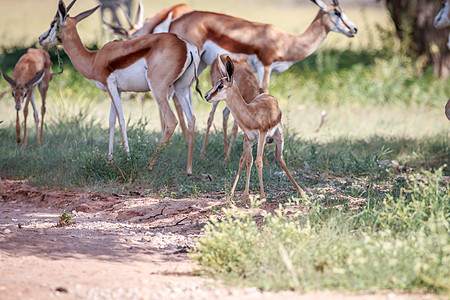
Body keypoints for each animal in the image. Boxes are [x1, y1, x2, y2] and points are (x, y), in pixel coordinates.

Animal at [39, 0, 200, 175]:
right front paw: (110, 162)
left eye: (53, 24)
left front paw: (128, 160)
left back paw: (148, 166)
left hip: (158, 88)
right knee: (192, 119)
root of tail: (186, 45)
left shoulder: (110, 85)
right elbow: (111, 121)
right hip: (181, 88)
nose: (40, 38)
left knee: (171, 121)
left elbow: (121, 120)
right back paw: (189, 170)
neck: (94, 58)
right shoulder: (117, 90)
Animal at [169, 0, 358, 92]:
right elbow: (264, 92)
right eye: (337, 12)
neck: (286, 41)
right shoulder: (265, 67)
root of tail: (176, 20)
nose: (354, 29)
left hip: (200, 63)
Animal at [206, 56, 304, 202]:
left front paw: (262, 197)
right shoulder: (248, 137)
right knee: (244, 160)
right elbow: (247, 161)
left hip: (278, 136)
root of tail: (269, 96)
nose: (206, 96)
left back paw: (301, 191)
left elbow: (258, 161)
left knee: (280, 158)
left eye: (221, 85)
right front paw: (243, 196)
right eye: (216, 83)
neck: (251, 114)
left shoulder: (262, 135)